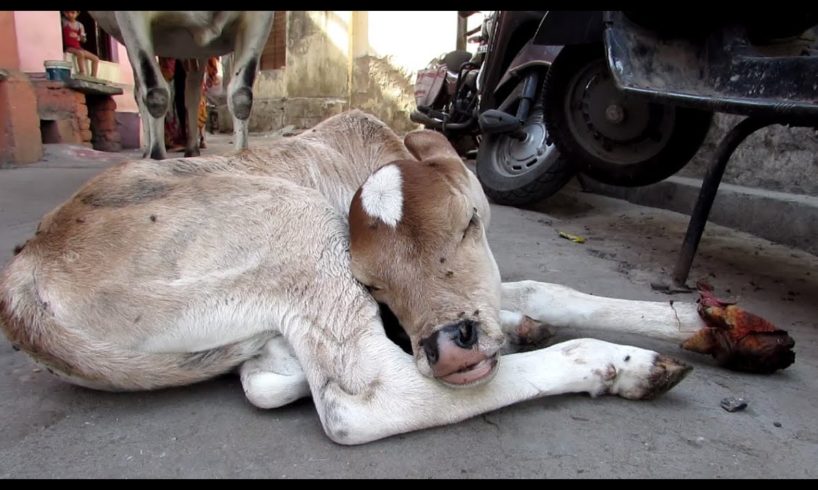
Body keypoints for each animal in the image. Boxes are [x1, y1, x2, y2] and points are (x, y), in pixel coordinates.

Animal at [0, 110, 792, 444]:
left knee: (272, 377)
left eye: (467, 228)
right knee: (365, 401)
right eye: (374, 281)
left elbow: (545, 289)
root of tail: (25, 273)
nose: (452, 344)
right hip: (297, 227)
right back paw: (618, 365)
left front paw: (719, 326)